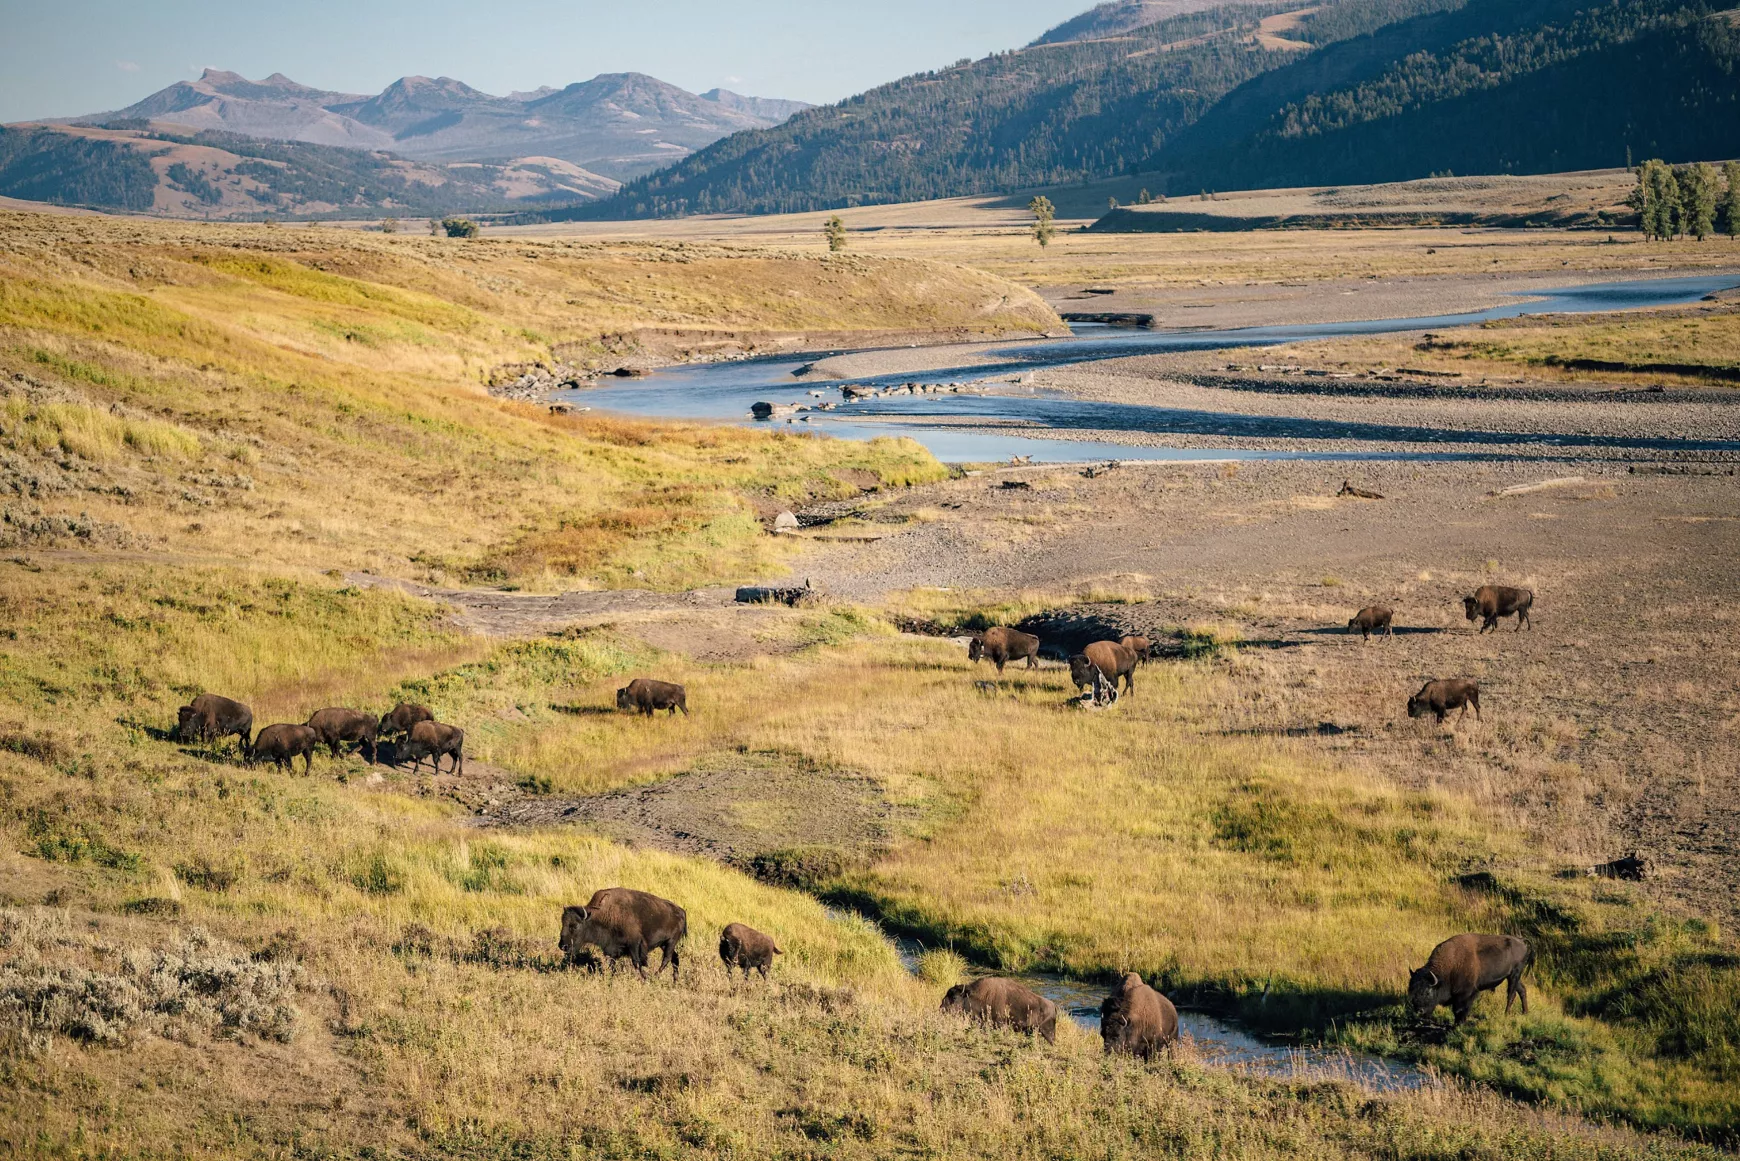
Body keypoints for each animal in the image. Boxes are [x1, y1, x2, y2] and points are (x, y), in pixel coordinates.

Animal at [560, 891, 689, 981]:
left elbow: (637, 963)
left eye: (574, 926)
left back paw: (655, 976)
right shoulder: (610, 949)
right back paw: (674, 981)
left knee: (666, 959)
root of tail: (682, 911)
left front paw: (645, 977)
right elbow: (612, 964)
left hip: (671, 941)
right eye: (562, 923)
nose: (563, 946)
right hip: (664, 944)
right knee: (674, 959)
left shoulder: (634, 944)